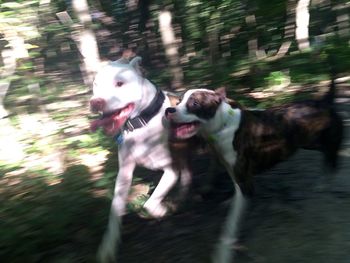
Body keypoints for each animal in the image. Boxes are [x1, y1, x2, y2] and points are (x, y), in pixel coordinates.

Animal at [89, 56, 190, 262]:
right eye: (95, 84)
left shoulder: (171, 169)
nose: (95, 102)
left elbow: (150, 202)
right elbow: (115, 210)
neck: (141, 122)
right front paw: (108, 245)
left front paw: (160, 210)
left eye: (120, 83)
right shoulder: (124, 173)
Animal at [165, 82, 344, 262]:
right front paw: (229, 201)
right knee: (327, 156)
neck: (222, 125)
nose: (169, 110)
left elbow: (230, 225)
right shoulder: (235, 172)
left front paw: (223, 253)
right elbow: (234, 193)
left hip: (325, 141)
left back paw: (327, 183)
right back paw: (323, 183)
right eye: (178, 101)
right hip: (309, 142)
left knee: (333, 159)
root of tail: (325, 102)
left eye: (194, 104)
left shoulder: (246, 185)